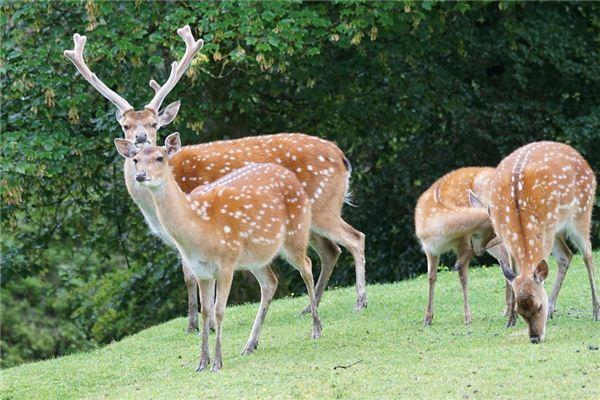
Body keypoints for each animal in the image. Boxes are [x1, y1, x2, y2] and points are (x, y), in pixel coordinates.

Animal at [64, 25, 366, 332]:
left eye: (153, 123)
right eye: (126, 125)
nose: (140, 139)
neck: (153, 208)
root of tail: (342, 157)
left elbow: (192, 276)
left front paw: (198, 325)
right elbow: (190, 275)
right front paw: (195, 324)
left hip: (323, 206)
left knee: (355, 238)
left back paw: (359, 301)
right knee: (330, 250)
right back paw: (308, 308)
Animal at [113, 134, 324, 372]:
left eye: (160, 157)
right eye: (136, 160)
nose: (141, 175)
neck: (197, 228)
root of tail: (292, 178)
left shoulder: (226, 262)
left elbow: (219, 310)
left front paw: (217, 362)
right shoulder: (201, 271)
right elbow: (205, 311)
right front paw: (202, 362)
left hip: (295, 233)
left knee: (307, 266)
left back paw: (316, 328)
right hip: (256, 257)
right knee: (271, 282)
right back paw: (250, 344)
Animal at [486, 141, 596, 344]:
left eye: (538, 306)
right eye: (520, 310)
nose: (535, 337)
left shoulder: (547, 228)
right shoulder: (506, 237)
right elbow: (512, 274)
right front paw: (510, 320)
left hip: (583, 210)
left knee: (587, 253)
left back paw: (596, 311)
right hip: (558, 229)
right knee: (566, 256)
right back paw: (553, 309)